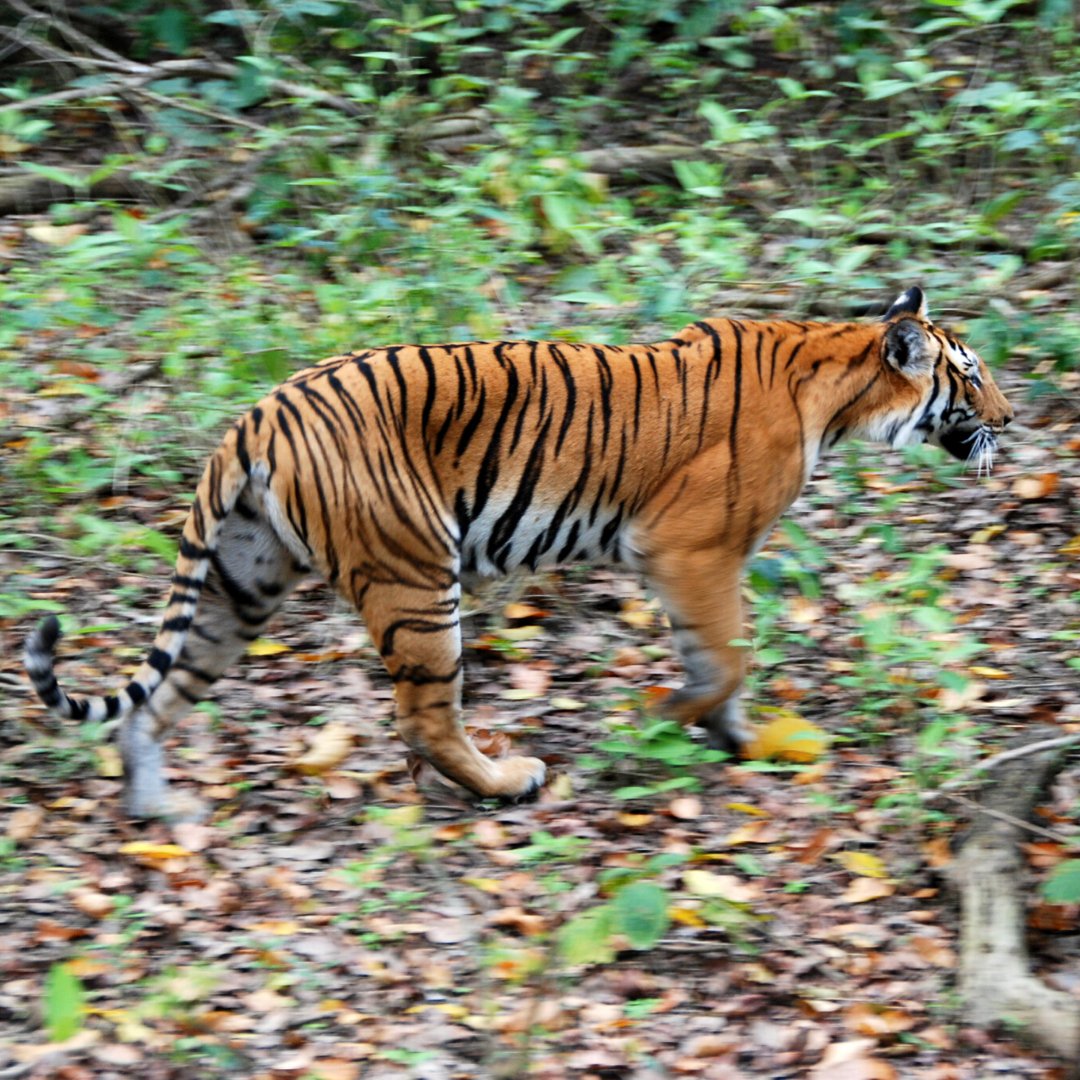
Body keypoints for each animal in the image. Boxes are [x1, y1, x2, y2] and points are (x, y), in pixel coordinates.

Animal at [25, 286, 1013, 818]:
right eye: (969, 376)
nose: (1011, 419)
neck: (833, 380)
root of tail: (257, 415)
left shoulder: (697, 558)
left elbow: (722, 658)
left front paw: (733, 737)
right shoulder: (690, 548)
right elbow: (727, 655)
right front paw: (672, 717)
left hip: (242, 578)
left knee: (158, 700)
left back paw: (156, 805)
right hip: (417, 576)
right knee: (424, 717)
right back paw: (508, 781)